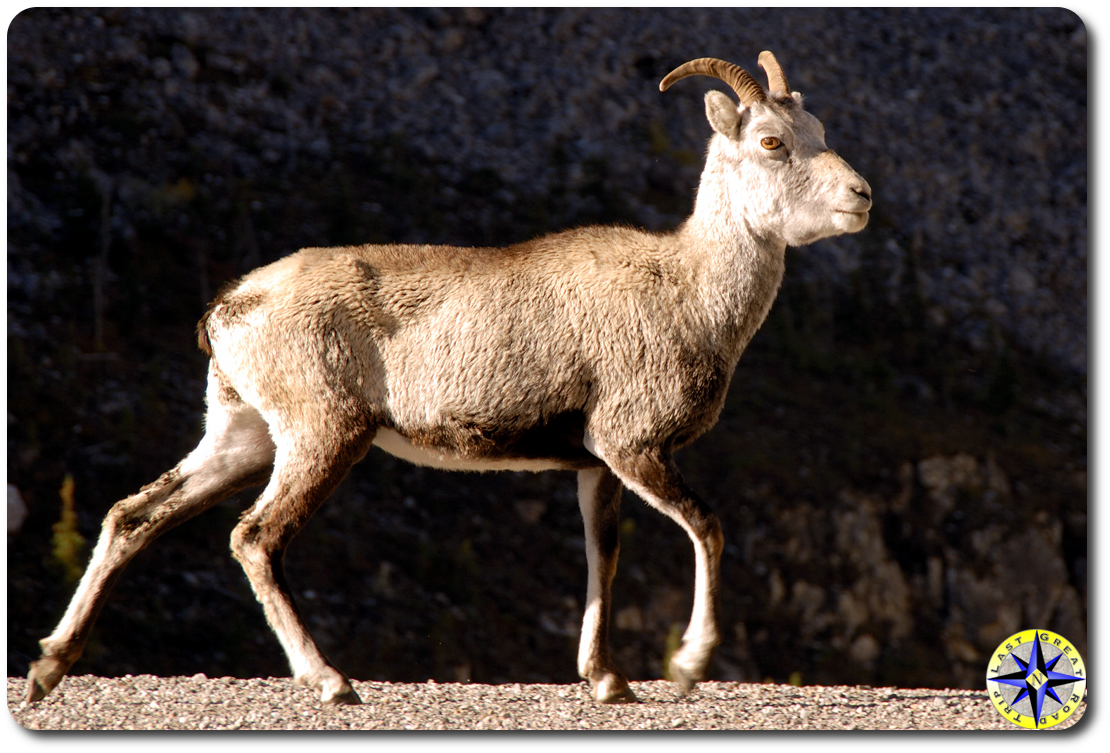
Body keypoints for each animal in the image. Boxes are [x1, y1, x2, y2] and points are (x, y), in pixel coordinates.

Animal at [26, 52, 871, 706]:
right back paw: (331, 681)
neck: (688, 290)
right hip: (322, 437)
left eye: (821, 134)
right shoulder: (634, 449)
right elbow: (707, 527)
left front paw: (606, 681)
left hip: (241, 437)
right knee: (255, 536)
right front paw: (687, 666)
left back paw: (47, 668)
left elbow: (601, 557)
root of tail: (229, 308)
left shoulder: (595, 466)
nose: (861, 197)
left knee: (132, 515)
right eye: (772, 141)